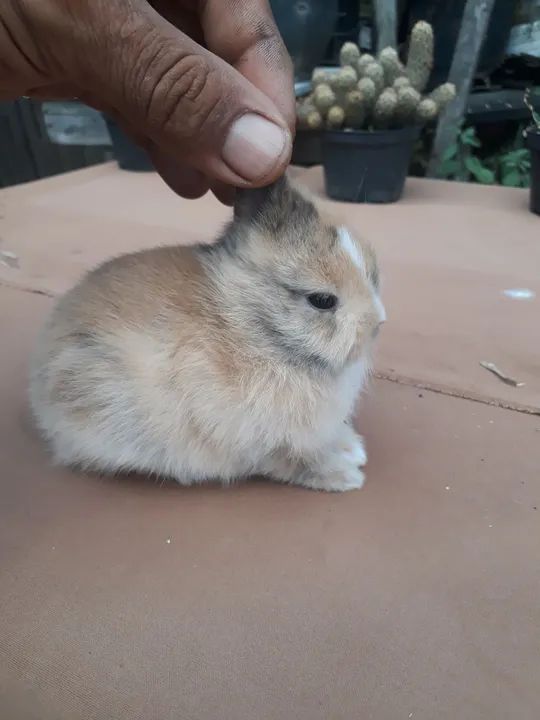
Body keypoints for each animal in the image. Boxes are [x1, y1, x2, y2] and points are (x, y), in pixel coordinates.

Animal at [29, 175, 385, 492]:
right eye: (322, 300)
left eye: (372, 274)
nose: (378, 323)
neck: (257, 329)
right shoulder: (267, 442)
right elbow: (296, 463)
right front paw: (347, 476)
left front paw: (351, 448)